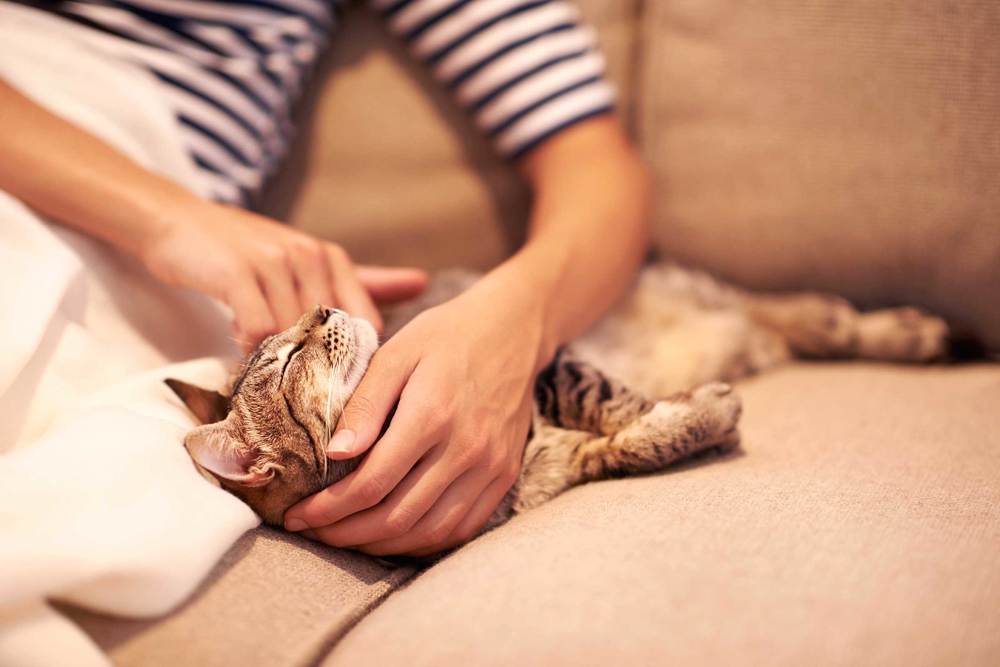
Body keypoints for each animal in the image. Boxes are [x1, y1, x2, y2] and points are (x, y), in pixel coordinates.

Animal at [168, 264, 948, 540]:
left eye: (294, 331)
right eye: (288, 359)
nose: (325, 305)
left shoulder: (552, 366)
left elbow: (615, 403)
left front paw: (691, 413)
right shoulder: (565, 459)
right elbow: (631, 443)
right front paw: (697, 418)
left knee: (806, 311)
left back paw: (907, 330)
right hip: (740, 334)